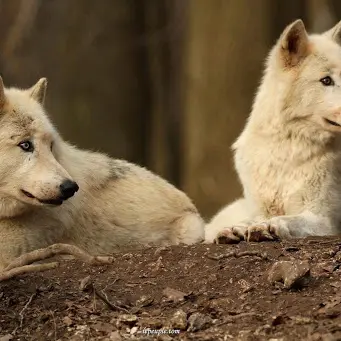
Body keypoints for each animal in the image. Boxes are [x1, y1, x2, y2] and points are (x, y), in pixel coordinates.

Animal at [206, 18, 341, 243]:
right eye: (326, 80)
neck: (286, 153)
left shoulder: (323, 218)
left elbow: (290, 219)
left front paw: (269, 226)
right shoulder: (259, 209)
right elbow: (250, 219)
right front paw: (235, 228)